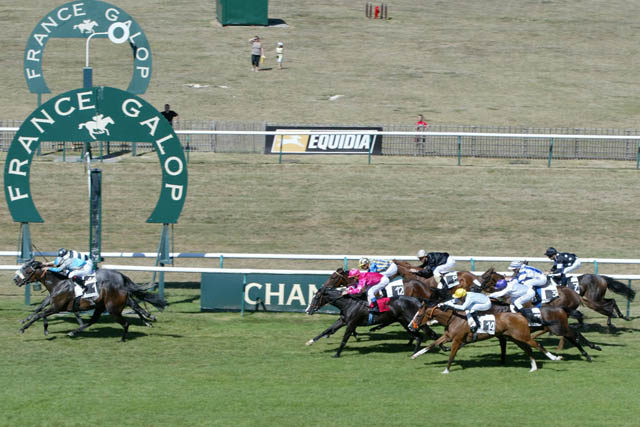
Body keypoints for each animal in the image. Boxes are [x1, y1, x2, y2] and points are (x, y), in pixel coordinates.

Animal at [14, 259, 167, 341]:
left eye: (27, 270)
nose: (15, 280)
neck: (59, 283)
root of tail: (121, 276)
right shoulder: (57, 306)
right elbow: (41, 311)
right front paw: (42, 328)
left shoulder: (57, 307)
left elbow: (40, 314)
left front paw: (23, 328)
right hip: (101, 307)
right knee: (94, 320)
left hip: (112, 308)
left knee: (131, 311)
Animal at [304, 285, 445, 357]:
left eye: (316, 297)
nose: (308, 310)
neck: (349, 303)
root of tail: (418, 300)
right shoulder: (343, 320)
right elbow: (327, 330)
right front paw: (309, 342)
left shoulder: (351, 323)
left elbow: (344, 339)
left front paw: (337, 354)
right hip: (405, 322)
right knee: (418, 337)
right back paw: (414, 352)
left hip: (413, 320)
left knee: (430, 334)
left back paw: (442, 348)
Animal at [408, 302, 562, 373]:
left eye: (419, 315)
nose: (410, 326)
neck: (453, 319)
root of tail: (520, 315)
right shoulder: (448, 336)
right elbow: (431, 345)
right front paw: (415, 355)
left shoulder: (457, 340)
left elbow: (451, 355)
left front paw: (446, 370)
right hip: (516, 338)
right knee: (528, 350)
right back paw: (533, 367)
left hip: (522, 336)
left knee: (538, 345)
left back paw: (555, 358)